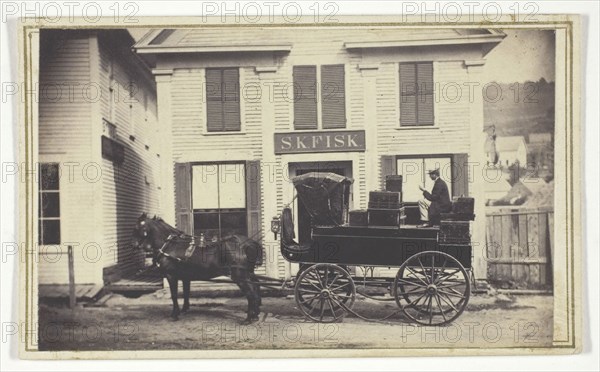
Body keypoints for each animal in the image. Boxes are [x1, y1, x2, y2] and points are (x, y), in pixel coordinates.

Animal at [131, 214, 262, 324]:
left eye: (136, 228)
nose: (133, 246)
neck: (171, 245)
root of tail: (248, 243)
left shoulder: (171, 275)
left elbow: (174, 295)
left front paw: (175, 314)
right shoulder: (185, 277)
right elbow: (185, 292)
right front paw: (184, 309)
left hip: (240, 276)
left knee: (251, 293)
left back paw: (248, 318)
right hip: (248, 273)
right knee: (256, 289)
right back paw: (255, 315)